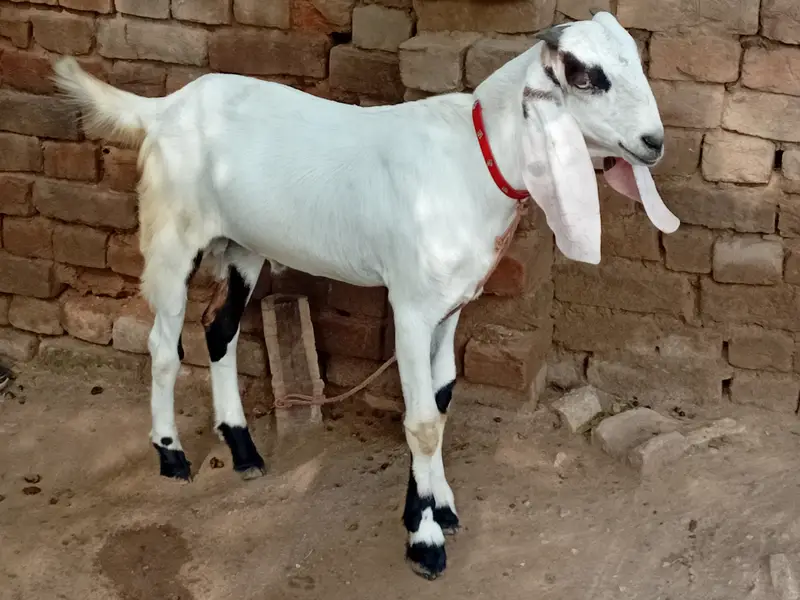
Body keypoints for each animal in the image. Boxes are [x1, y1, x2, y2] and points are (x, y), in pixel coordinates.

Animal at [53, 11, 679, 580]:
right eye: (586, 76)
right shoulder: (411, 306)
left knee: (219, 329)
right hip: (171, 235)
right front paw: (425, 543)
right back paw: (172, 455)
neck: (472, 160)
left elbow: (441, 400)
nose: (654, 143)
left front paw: (436, 507)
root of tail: (165, 108)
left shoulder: (452, 305)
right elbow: (421, 421)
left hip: (243, 245)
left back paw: (244, 450)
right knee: (164, 345)